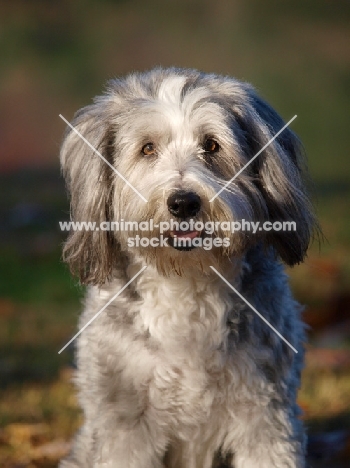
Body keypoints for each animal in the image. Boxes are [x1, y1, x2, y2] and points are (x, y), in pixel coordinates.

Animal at [58, 66, 316, 468]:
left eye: (211, 145)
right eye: (148, 148)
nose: (183, 202)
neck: (185, 281)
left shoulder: (266, 416)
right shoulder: (123, 424)